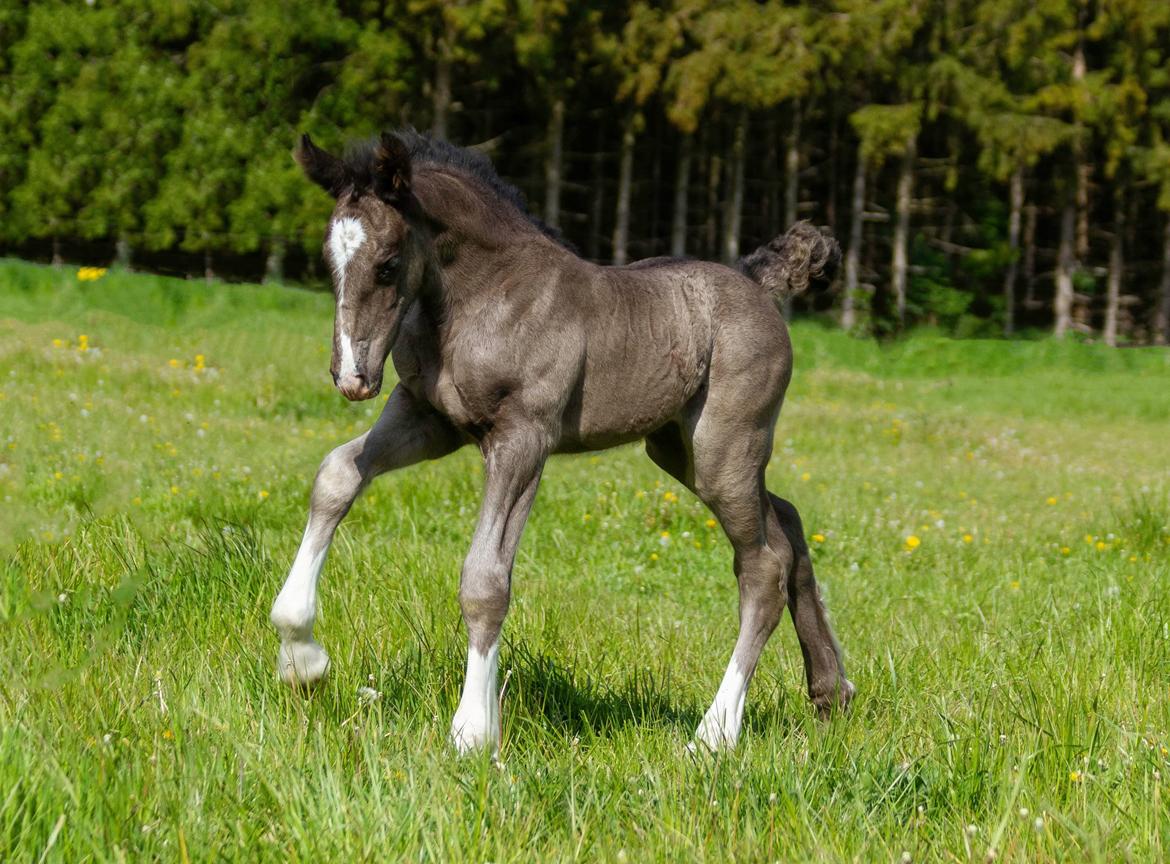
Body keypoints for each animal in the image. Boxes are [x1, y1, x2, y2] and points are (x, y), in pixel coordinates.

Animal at [271, 129, 861, 753]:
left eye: (387, 266)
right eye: (330, 263)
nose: (352, 377)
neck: (483, 296)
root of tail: (756, 284)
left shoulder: (523, 437)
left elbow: (484, 578)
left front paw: (473, 731)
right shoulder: (428, 418)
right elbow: (336, 476)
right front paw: (302, 656)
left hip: (725, 448)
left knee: (763, 567)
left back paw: (715, 734)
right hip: (680, 450)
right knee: (788, 524)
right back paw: (830, 691)